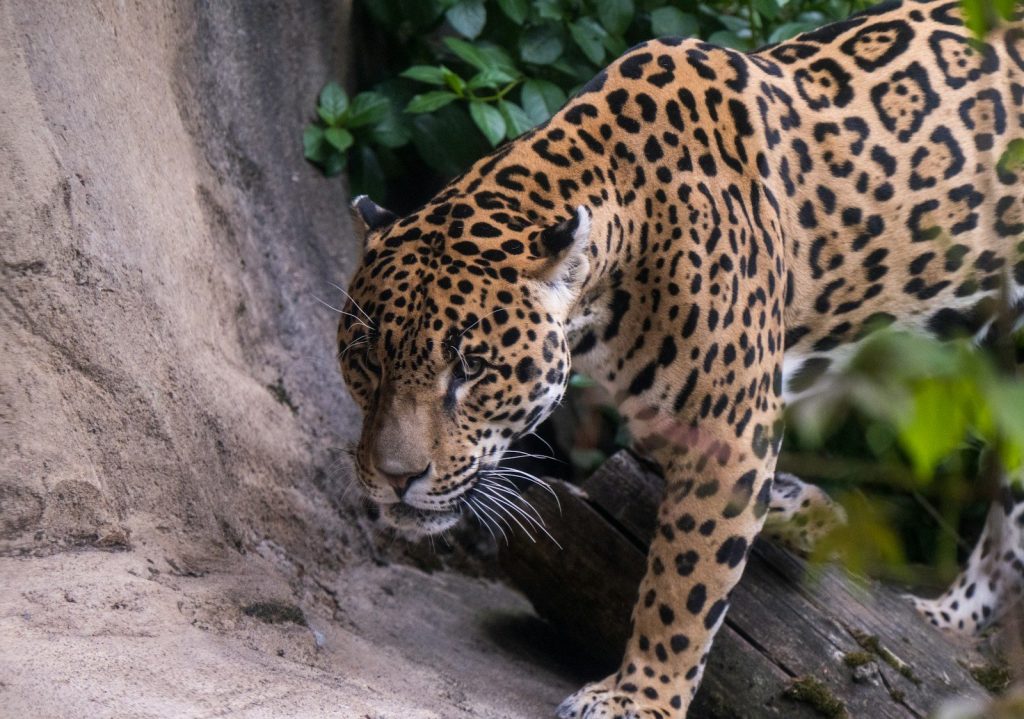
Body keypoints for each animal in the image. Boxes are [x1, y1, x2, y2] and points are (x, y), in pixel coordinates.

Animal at [335, 1, 1024, 716]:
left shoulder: (730, 427)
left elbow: (684, 582)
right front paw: (810, 512)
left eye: (470, 369)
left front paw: (640, 697)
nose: (394, 478)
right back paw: (947, 618)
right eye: (367, 360)